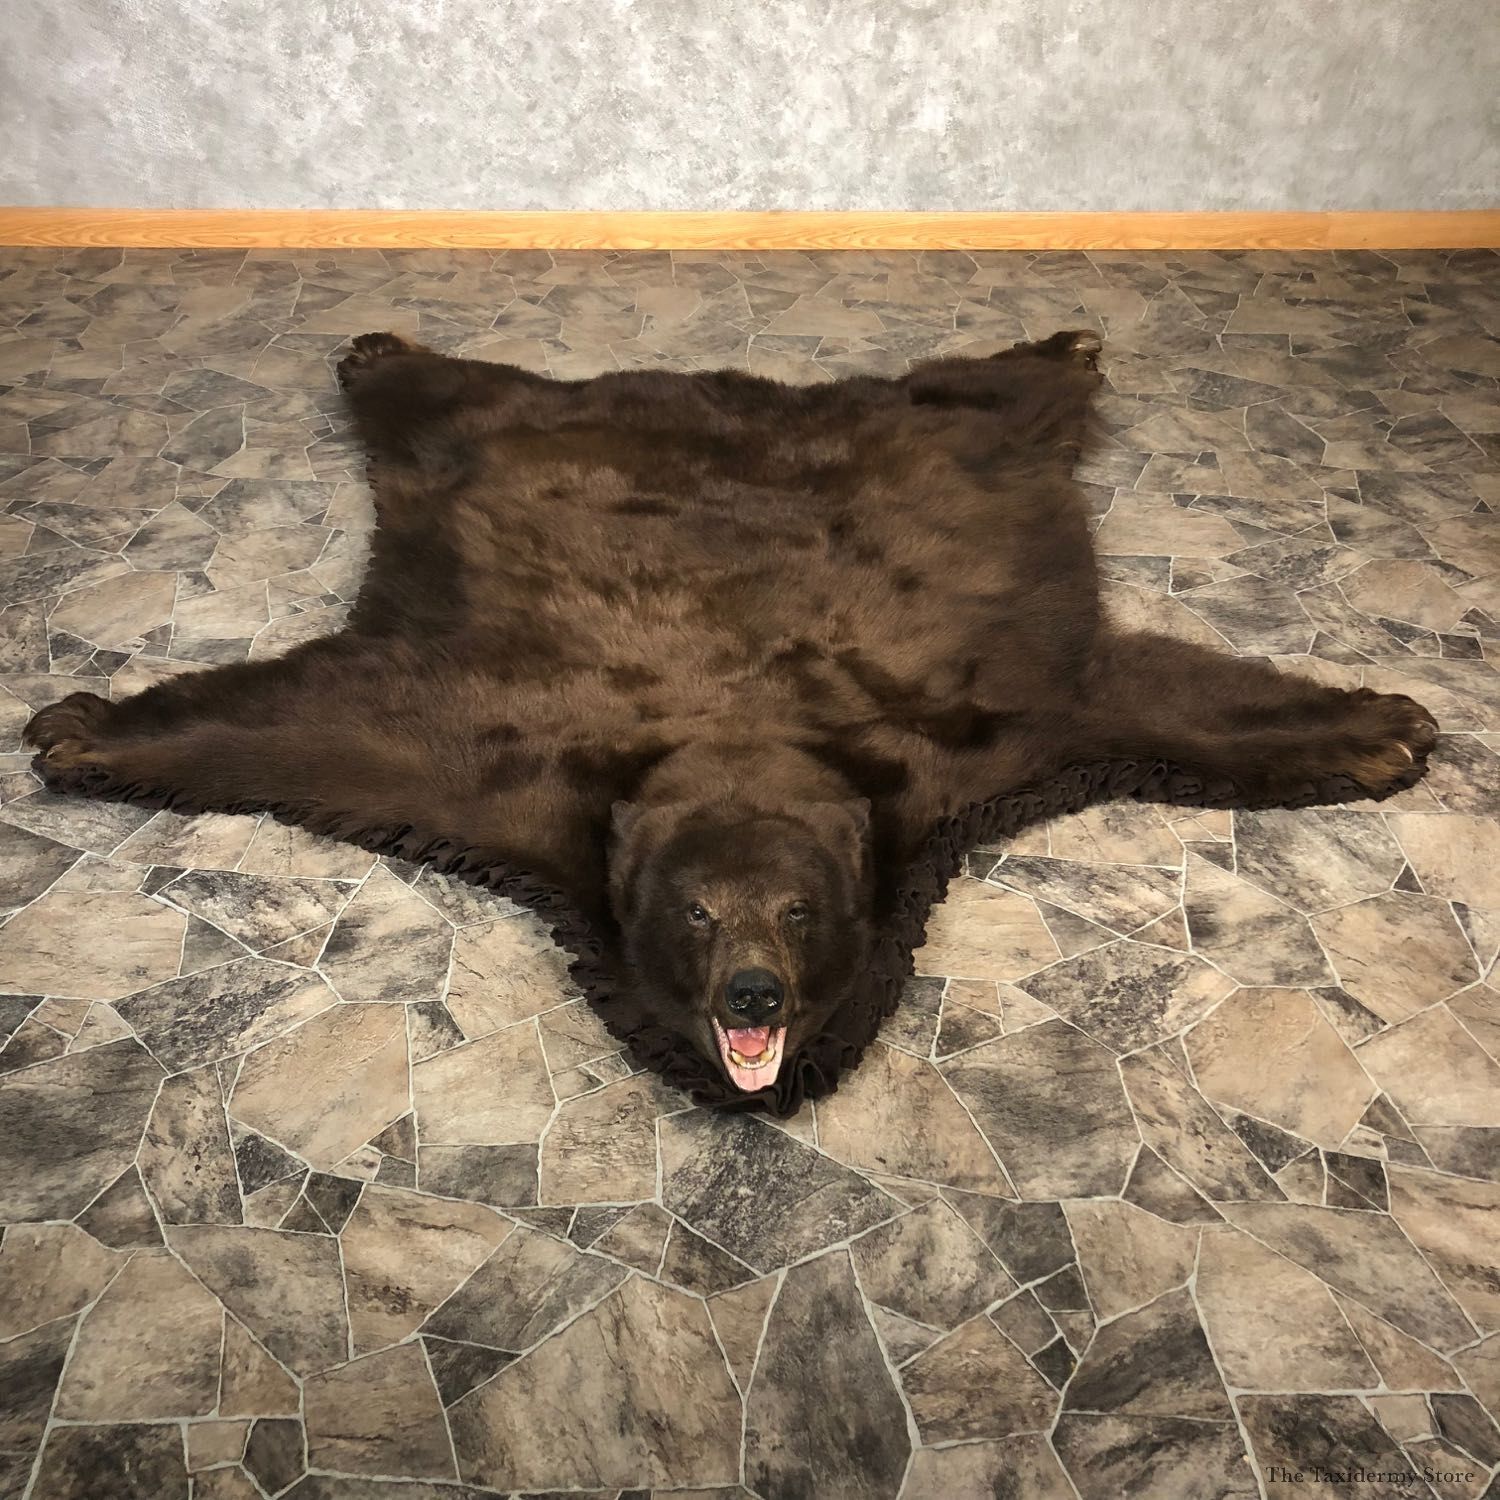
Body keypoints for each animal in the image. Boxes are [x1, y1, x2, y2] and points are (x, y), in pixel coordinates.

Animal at [24, 328, 1436, 1111]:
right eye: (696, 913)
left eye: (801, 914)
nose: (752, 993)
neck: (743, 739)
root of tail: (717, 391)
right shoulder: (488, 751)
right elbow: (298, 723)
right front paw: (87, 727)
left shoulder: (989, 717)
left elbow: (1155, 700)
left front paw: (1380, 725)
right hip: (495, 440)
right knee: (450, 396)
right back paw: (384, 354)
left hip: (955, 450)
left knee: (979, 398)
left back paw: (1056, 352)